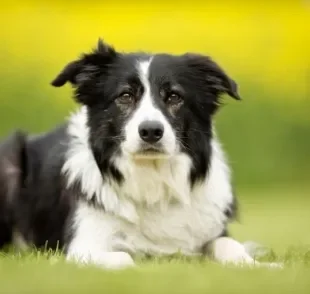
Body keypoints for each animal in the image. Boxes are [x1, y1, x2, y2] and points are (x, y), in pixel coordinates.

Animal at [0, 39, 272, 268]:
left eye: (174, 96)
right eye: (125, 96)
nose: (151, 131)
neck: (152, 179)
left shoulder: (212, 229)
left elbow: (228, 244)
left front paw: (261, 266)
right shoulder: (83, 245)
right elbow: (124, 259)